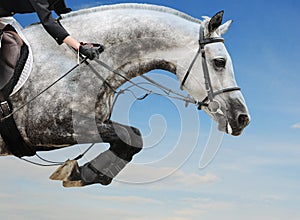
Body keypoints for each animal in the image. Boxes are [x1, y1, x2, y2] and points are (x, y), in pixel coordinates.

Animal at [0, 3, 250, 187]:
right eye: (220, 62)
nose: (242, 118)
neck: (74, 60)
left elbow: (133, 137)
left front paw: (88, 173)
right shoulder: (46, 129)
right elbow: (129, 137)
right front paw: (83, 173)